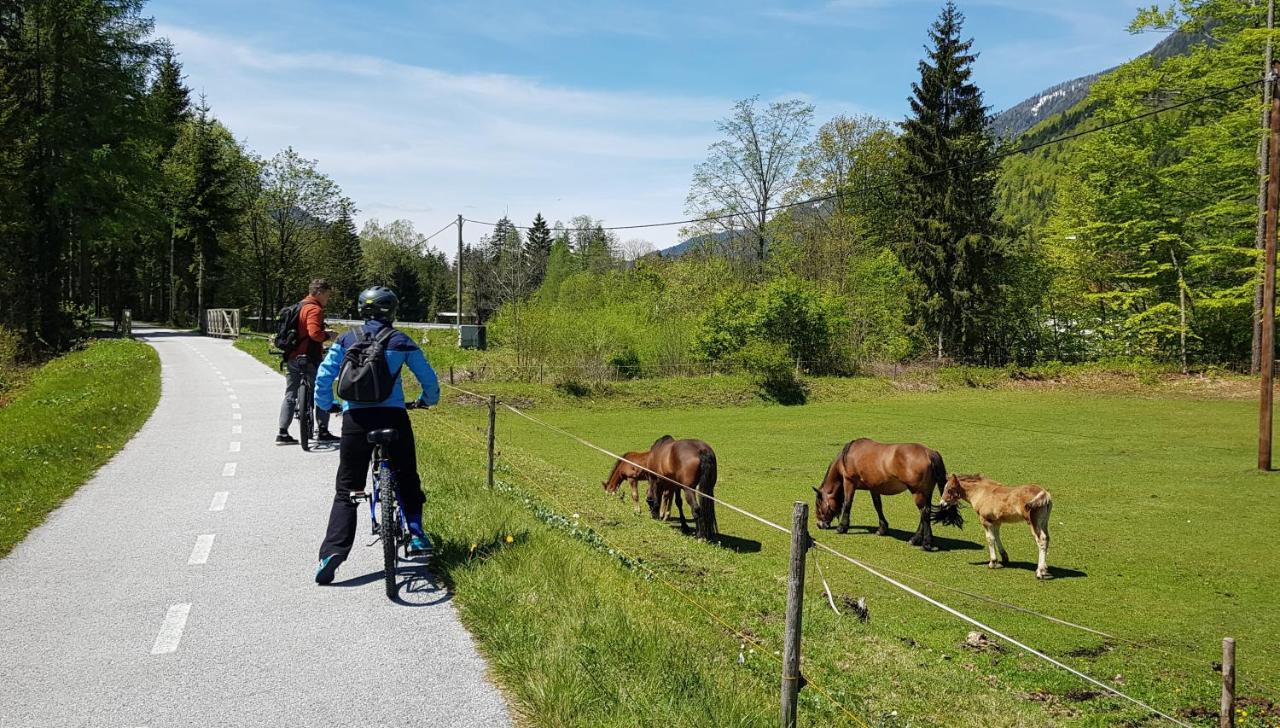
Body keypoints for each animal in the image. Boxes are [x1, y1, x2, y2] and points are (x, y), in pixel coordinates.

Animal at [814, 437, 947, 550]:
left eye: (818, 505)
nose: (819, 524)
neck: (847, 456)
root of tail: (929, 453)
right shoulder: (874, 488)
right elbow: (878, 506)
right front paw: (882, 528)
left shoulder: (849, 482)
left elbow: (847, 504)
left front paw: (842, 527)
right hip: (926, 492)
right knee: (925, 513)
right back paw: (915, 539)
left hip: (917, 492)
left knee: (924, 512)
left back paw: (926, 543)